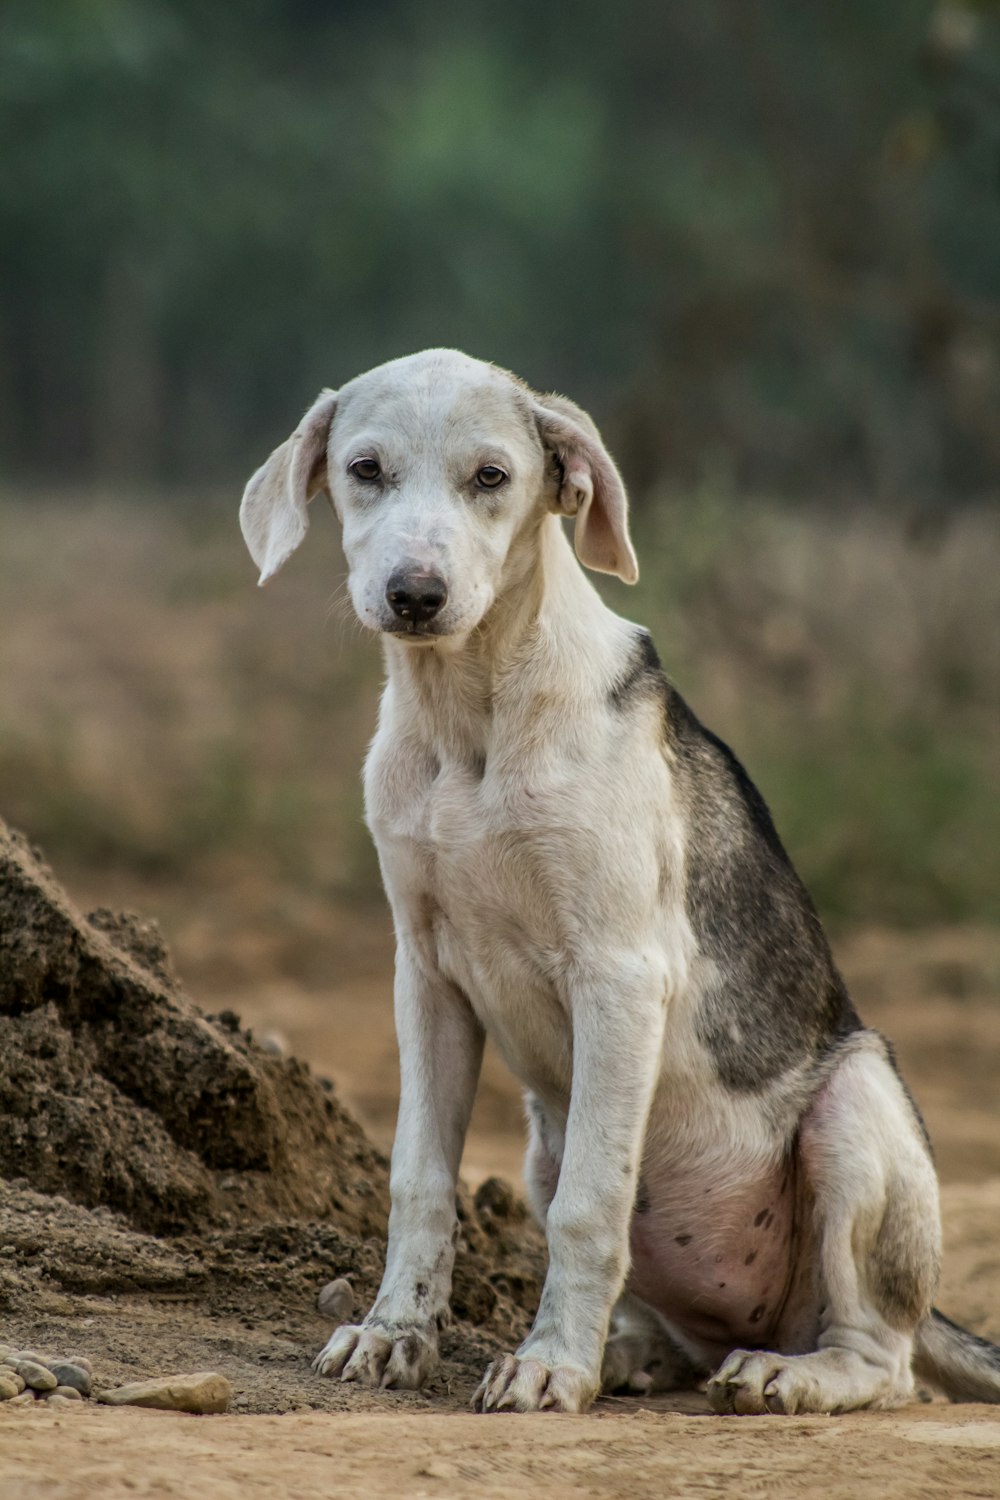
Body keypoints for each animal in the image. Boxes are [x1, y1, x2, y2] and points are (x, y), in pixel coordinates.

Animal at [239, 345, 1000, 1410]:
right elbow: (419, 1181)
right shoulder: (423, 975)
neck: (472, 717)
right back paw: (635, 1353)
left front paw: (550, 1364)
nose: (415, 593)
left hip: (855, 1106)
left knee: (883, 1363)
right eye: (364, 470)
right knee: (677, 1321)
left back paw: (785, 1373)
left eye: (492, 477)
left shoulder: (620, 974)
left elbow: (589, 1209)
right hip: (542, 1136)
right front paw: (395, 1334)